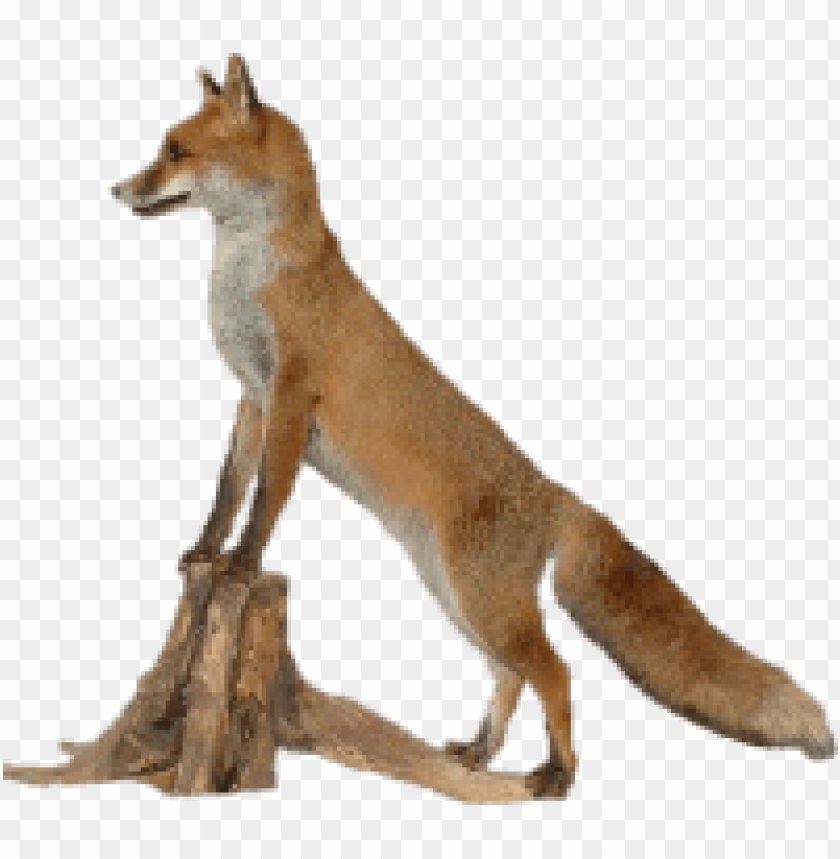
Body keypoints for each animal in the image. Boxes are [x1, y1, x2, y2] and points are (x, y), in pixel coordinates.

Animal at [111, 55, 834, 797]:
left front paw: (240, 564)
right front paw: (205, 552)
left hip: (482, 600)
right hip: (457, 594)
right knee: (512, 675)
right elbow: (228, 491)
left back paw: (557, 771)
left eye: (174, 150)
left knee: (555, 671)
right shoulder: (252, 399)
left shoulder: (289, 398)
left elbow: (265, 502)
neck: (254, 277)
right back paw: (482, 752)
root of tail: (554, 492)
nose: (117, 189)